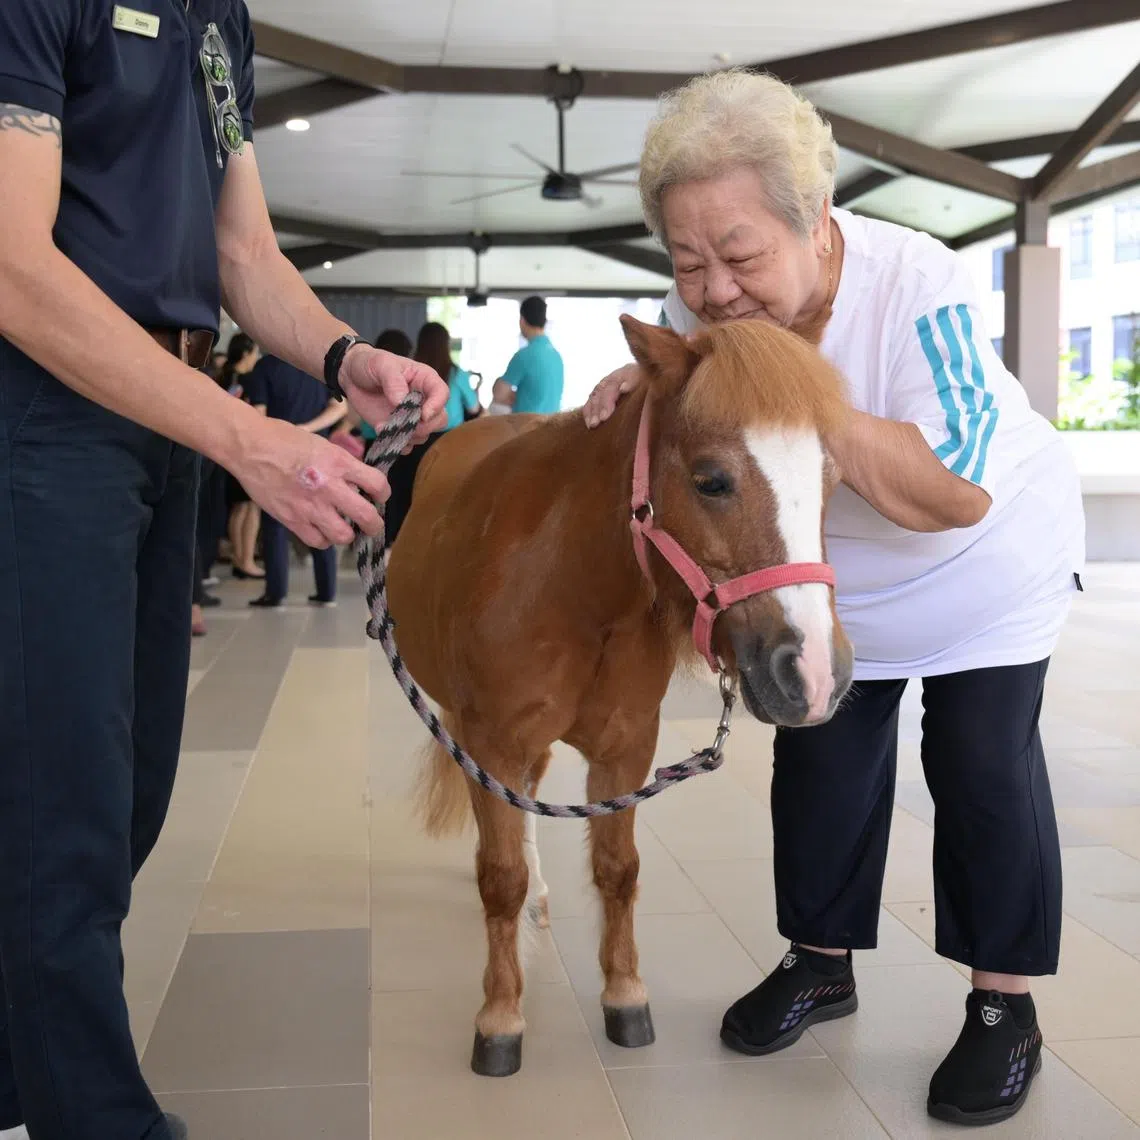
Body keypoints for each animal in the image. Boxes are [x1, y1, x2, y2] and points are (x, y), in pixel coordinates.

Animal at [385, 312, 855, 1077]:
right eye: (712, 481)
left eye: (830, 480)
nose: (813, 674)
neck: (574, 584)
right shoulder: (491, 741)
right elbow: (499, 876)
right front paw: (500, 1016)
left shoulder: (627, 749)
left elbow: (619, 870)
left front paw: (625, 994)